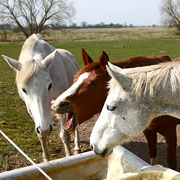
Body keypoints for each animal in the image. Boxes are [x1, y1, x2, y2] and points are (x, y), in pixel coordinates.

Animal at [1, 34, 79, 162]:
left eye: (50, 85)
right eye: (24, 90)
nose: (45, 128)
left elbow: (64, 135)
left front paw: (68, 157)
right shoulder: (31, 110)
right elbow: (41, 136)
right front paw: (46, 160)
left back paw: (77, 148)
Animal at [51, 48, 179, 169]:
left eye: (92, 83)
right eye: (74, 78)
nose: (56, 104)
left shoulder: (170, 132)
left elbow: (172, 163)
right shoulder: (149, 132)